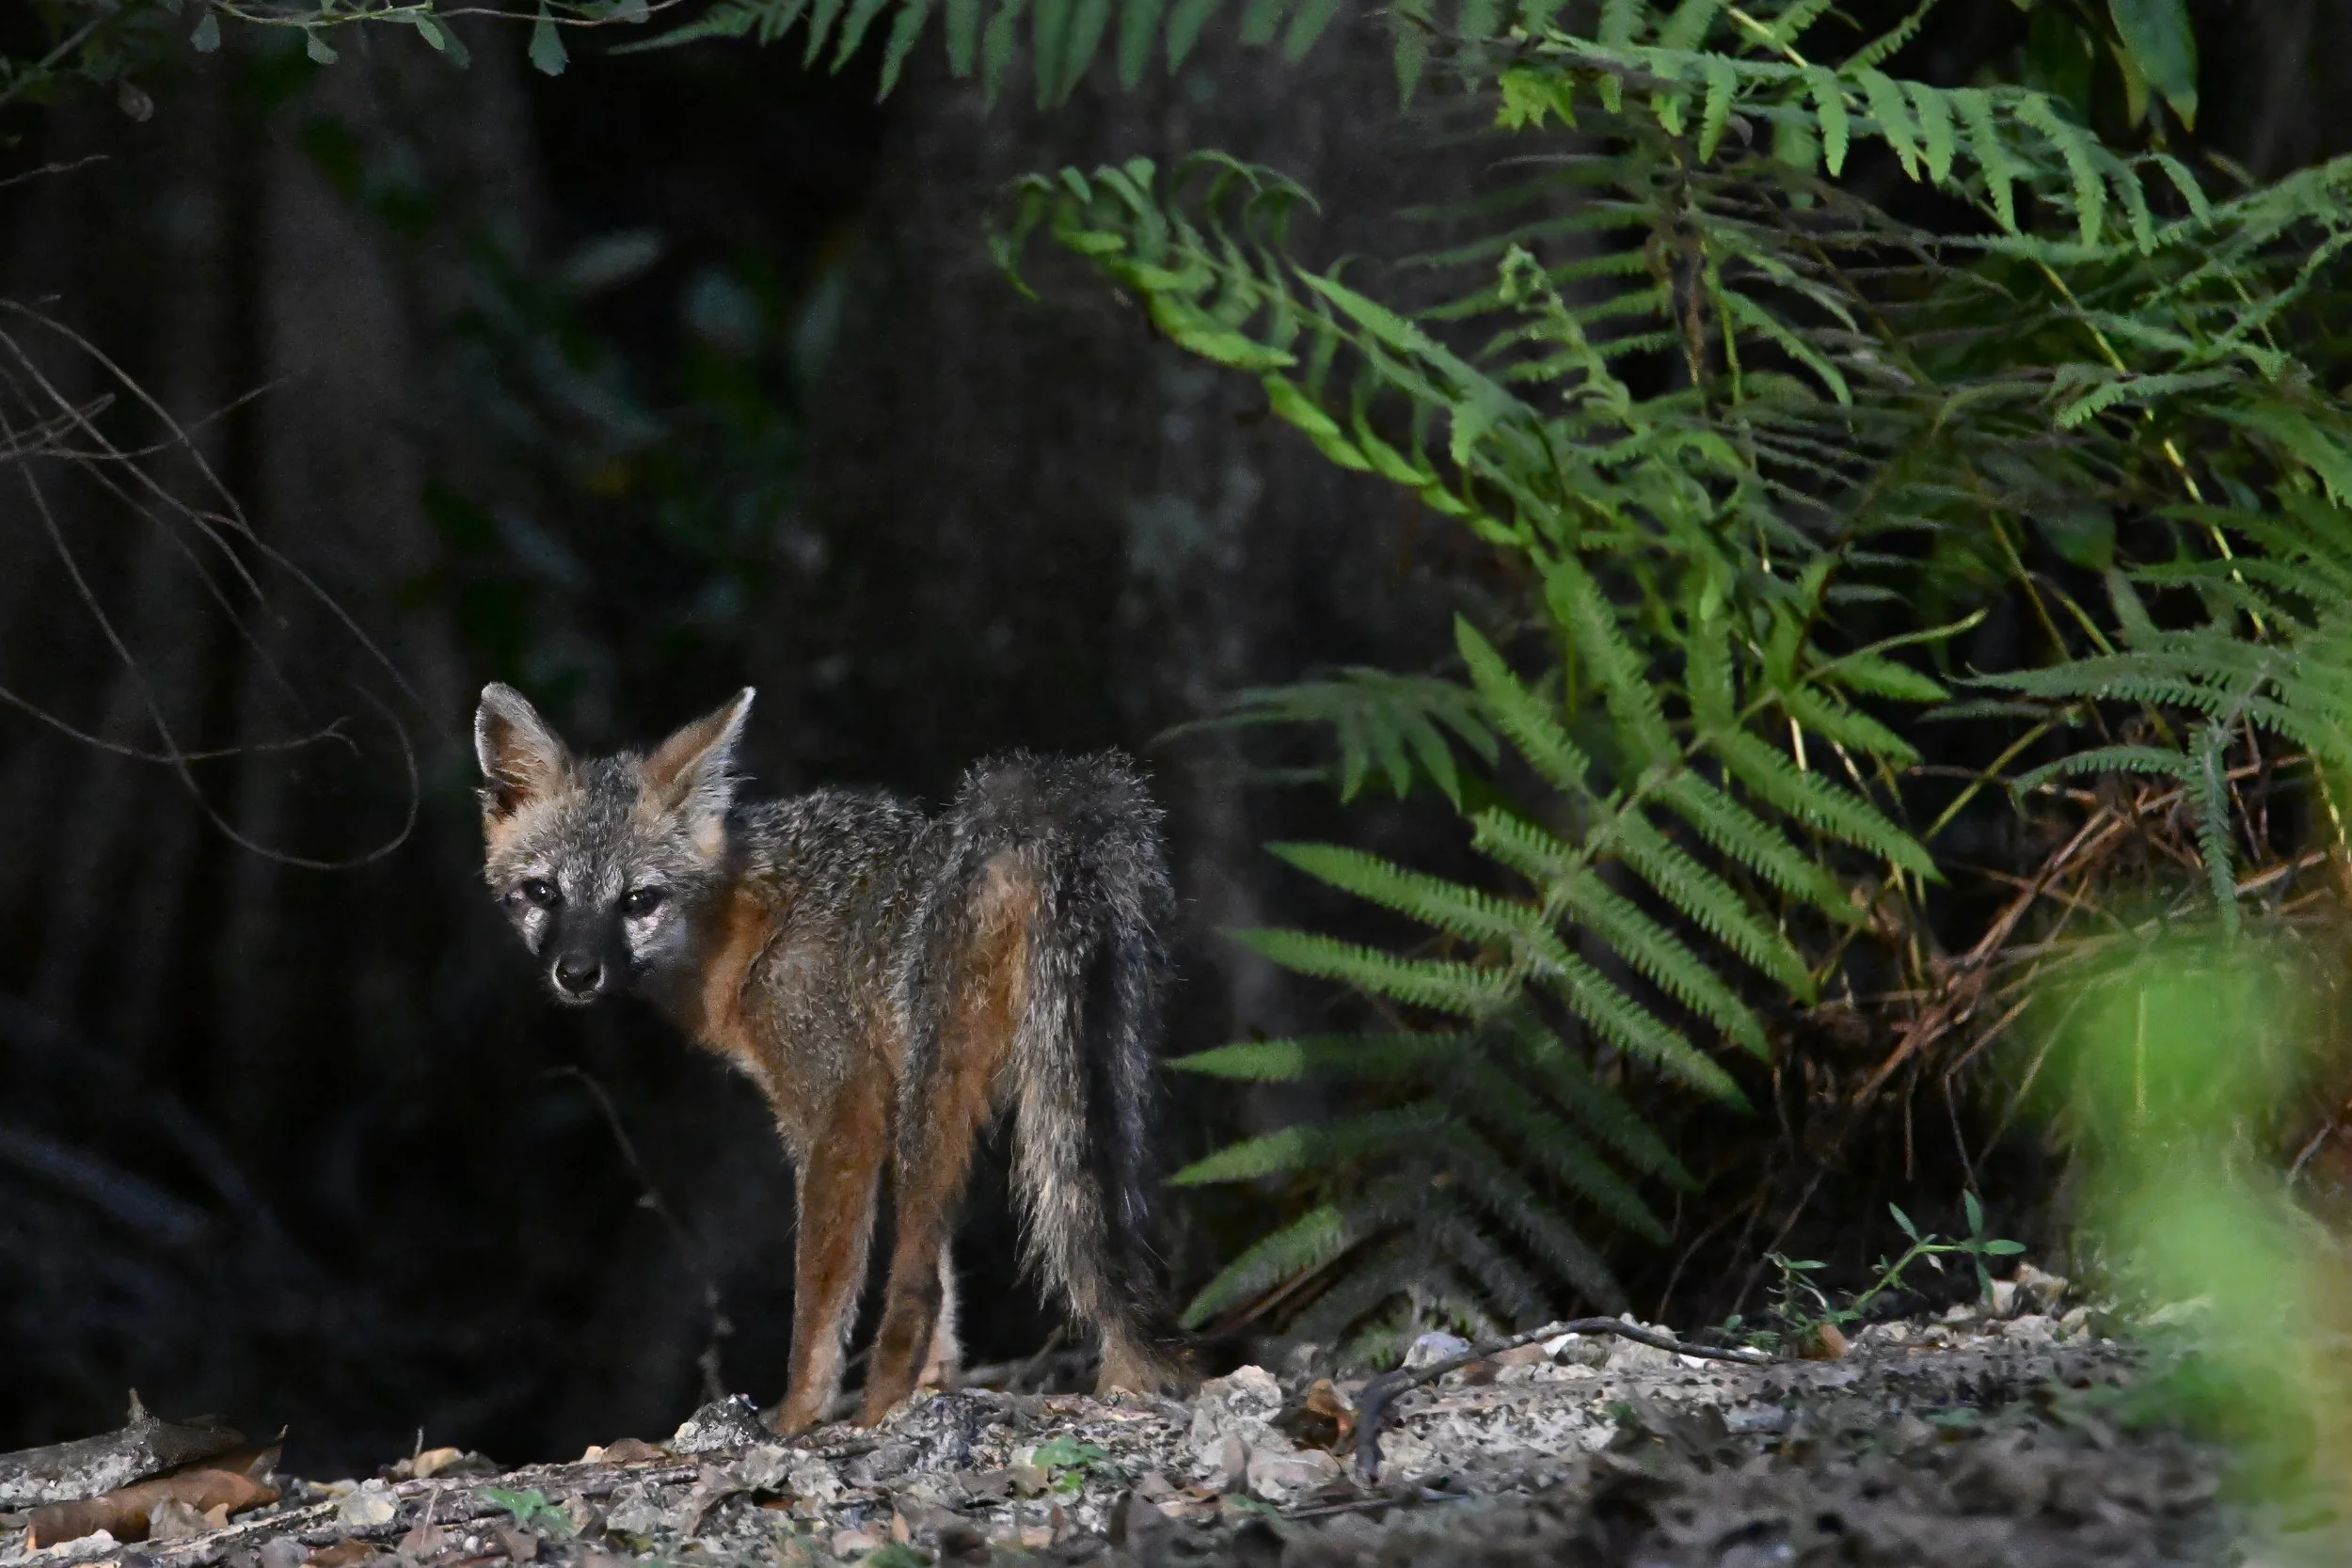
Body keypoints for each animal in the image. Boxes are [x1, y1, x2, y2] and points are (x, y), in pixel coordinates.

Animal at [472, 683, 1190, 1434]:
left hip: (939, 1095)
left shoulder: (841, 1110)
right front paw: (925, 1391)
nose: (577, 973)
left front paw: (797, 1413)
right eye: (543, 892)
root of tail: (1035, 822)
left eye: (638, 900)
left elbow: (821, 1295)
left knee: (916, 1290)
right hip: (1093, 1080)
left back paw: (871, 1411)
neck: (751, 919)